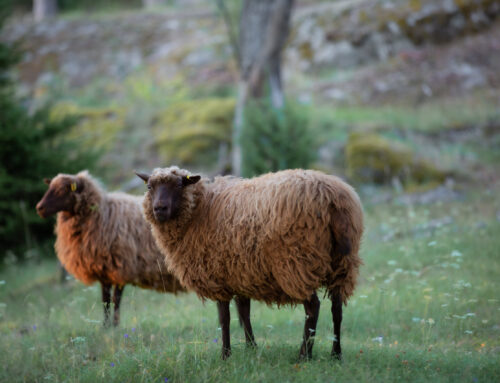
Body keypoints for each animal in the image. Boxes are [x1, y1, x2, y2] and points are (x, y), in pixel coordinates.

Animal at [35, 171, 186, 328]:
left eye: (63, 189)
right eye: (50, 187)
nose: (39, 208)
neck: (102, 214)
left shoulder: (122, 268)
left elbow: (115, 300)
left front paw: (114, 325)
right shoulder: (104, 272)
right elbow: (105, 300)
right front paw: (106, 326)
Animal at [137, 167, 364, 360]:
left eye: (179, 185)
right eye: (149, 187)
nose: (159, 209)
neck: (200, 210)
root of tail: (331, 197)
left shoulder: (218, 275)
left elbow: (225, 318)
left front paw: (225, 354)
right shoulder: (240, 273)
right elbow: (244, 313)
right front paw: (251, 348)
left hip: (298, 262)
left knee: (313, 308)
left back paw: (304, 355)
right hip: (343, 263)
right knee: (337, 309)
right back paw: (336, 354)